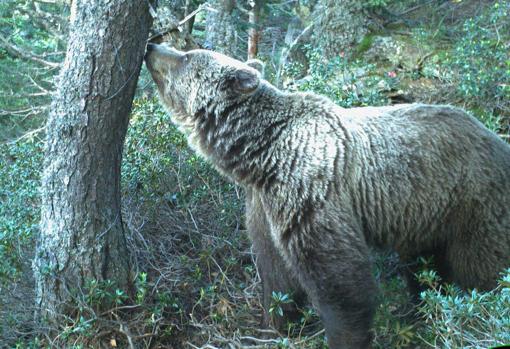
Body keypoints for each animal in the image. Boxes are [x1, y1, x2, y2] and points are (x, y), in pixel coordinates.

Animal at [143, 43, 510, 348]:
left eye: (188, 56)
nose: (152, 46)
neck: (263, 154)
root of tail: (496, 140)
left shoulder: (312, 189)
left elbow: (338, 278)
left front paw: (344, 336)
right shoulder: (264, 204)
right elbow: (275, 271)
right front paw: (280, 322)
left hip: (473, 202)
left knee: (482, 269)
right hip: (428, 215)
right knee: (424, 268)